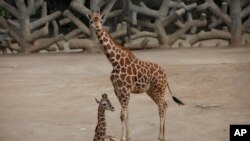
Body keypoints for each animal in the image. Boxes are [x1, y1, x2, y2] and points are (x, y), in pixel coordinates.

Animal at [88, 11, 184, 141]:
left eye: (101, 21)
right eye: (91, 20)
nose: (97, 27)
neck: (115, 61)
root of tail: (165, 75)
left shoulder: (125, 90)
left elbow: (122, 114)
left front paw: (123, 138)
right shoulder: (117, 90)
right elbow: (126, 112)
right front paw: (128, 136)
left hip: (160, 89)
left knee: (161, 107)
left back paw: (160, 137)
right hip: (151, 91)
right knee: (164, 105)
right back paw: (163, 136)